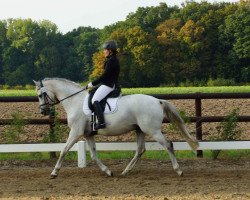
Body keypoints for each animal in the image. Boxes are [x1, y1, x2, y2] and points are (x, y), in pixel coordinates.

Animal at [33, 77, 198, 178]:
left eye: (40, 95)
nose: (43, 111)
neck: (75, 101)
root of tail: (158, 100)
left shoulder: (75, 132)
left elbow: (64, 150)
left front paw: (54, 172)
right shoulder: (88, 135)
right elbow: (93, 155)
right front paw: (108, 171)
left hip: (153, 130)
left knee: (168, 145)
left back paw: (179, 170)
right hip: (140, 130)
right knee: (140, 150)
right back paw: (125, 171)